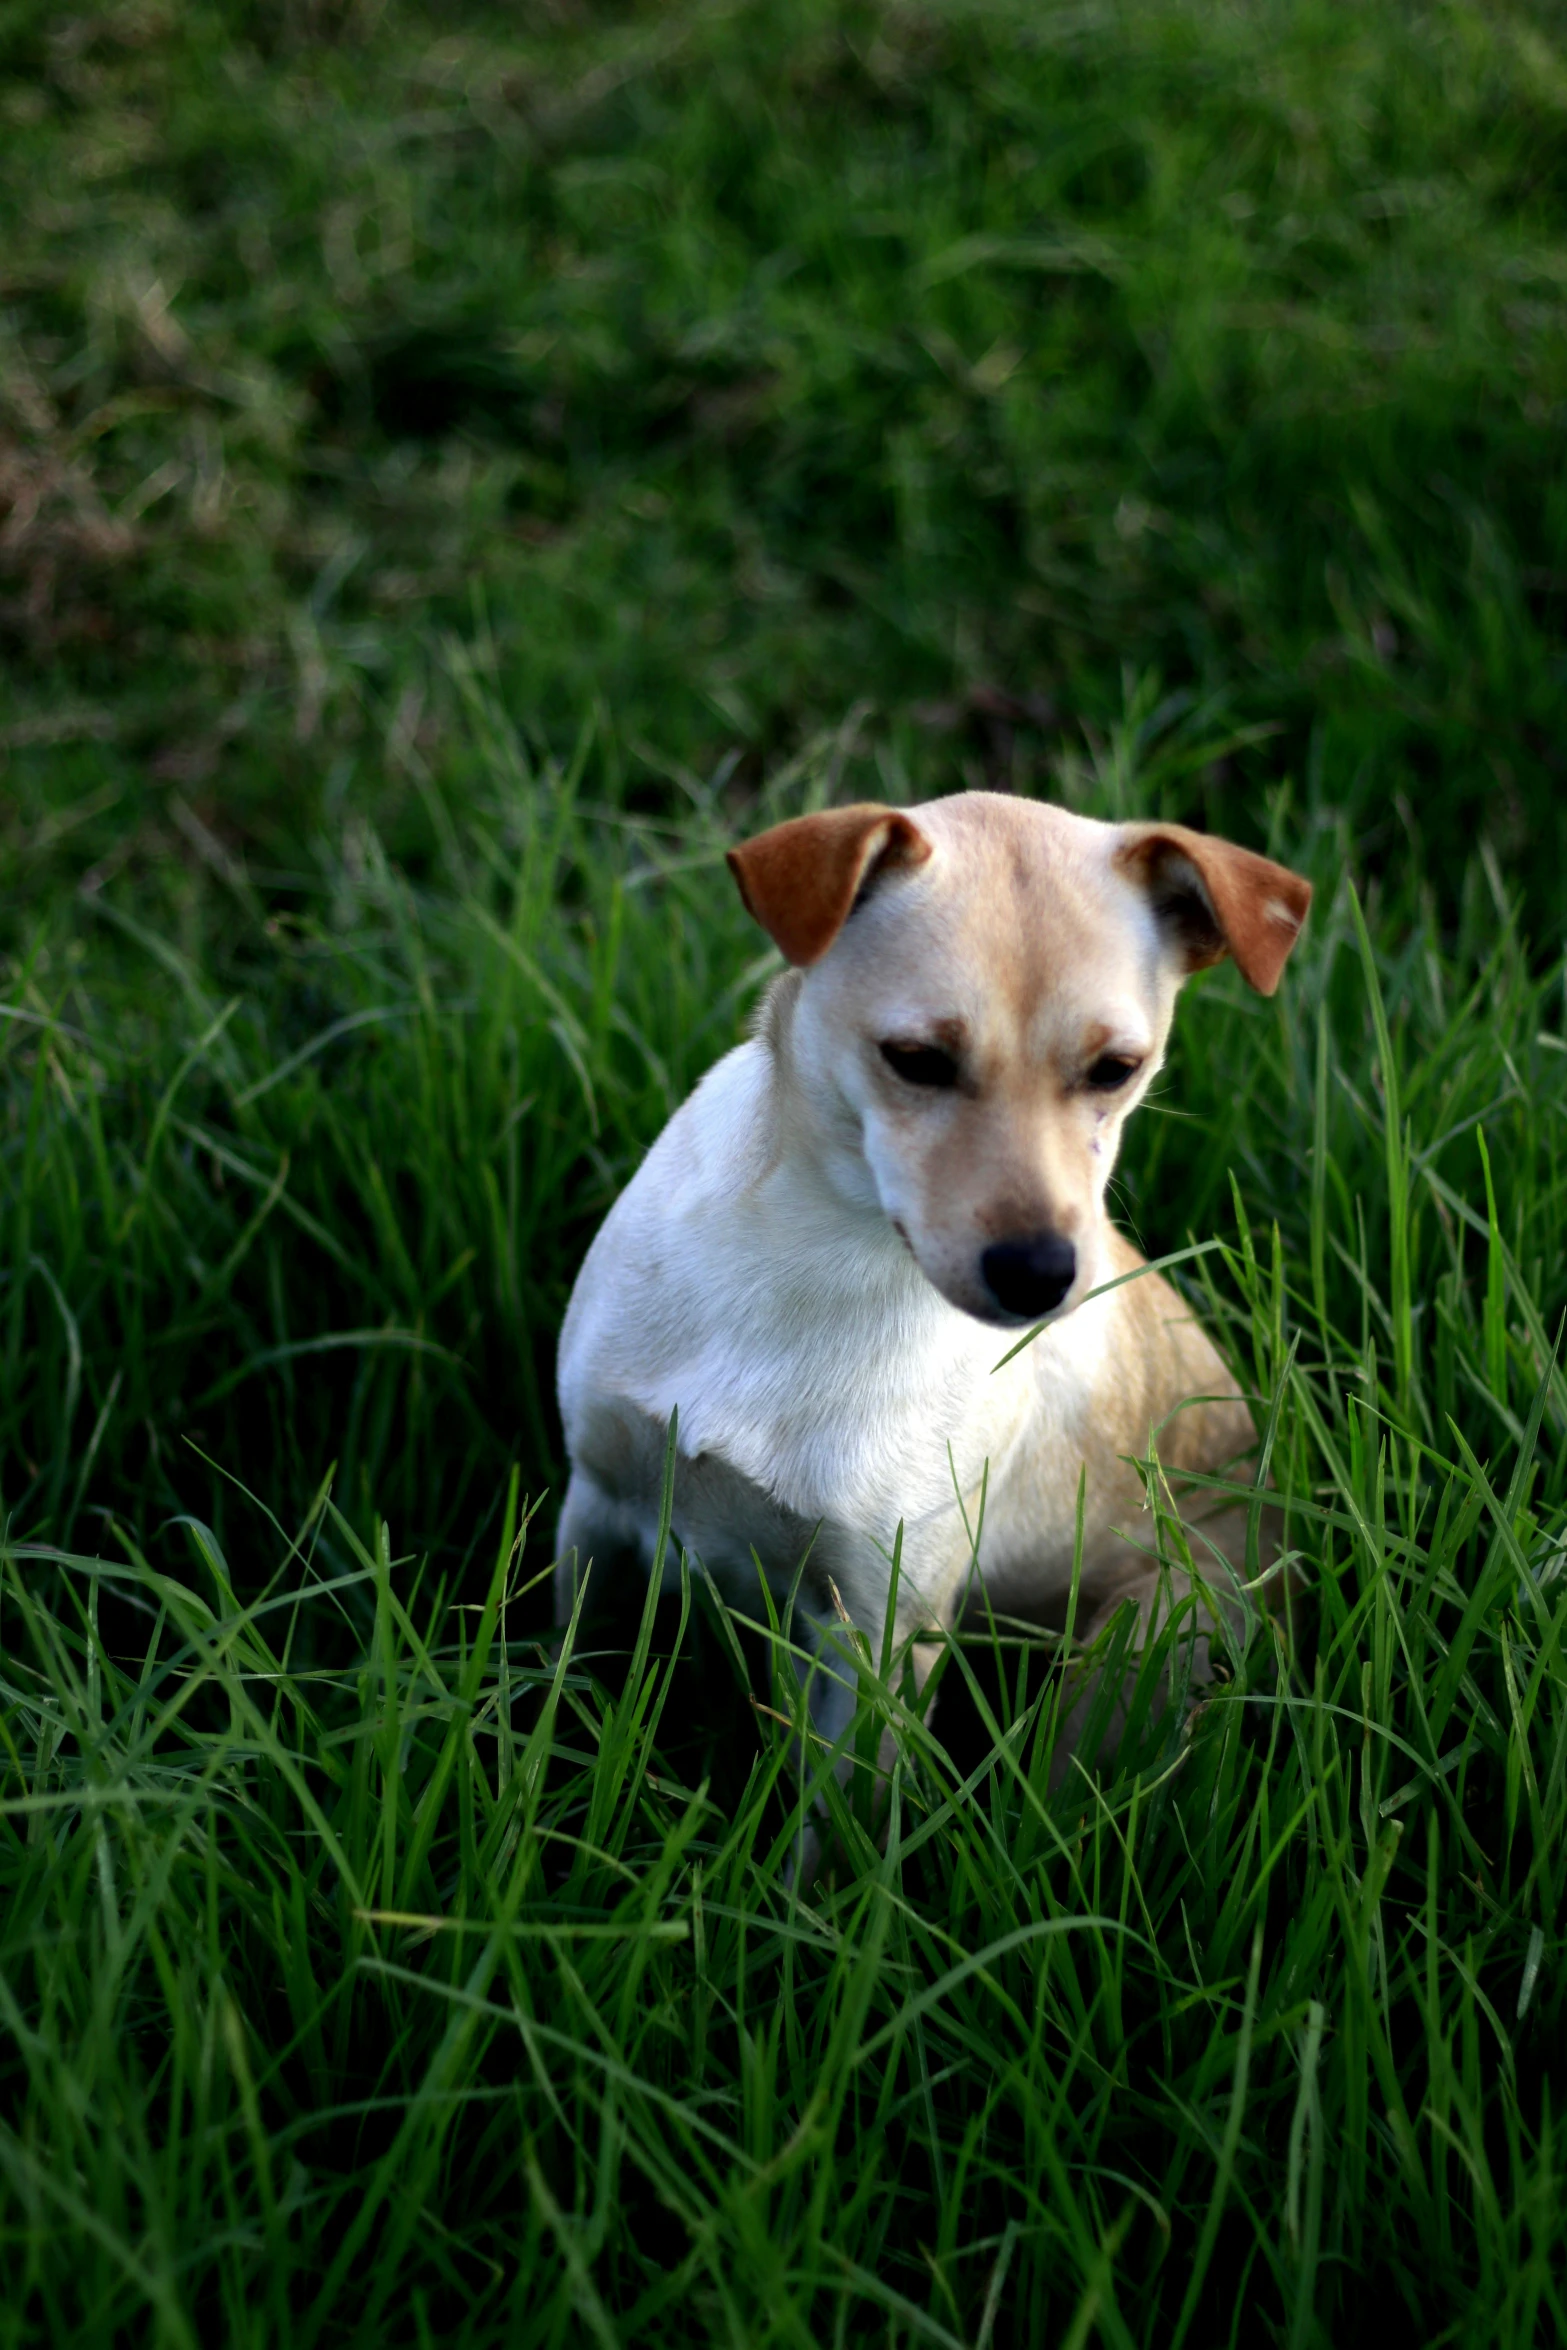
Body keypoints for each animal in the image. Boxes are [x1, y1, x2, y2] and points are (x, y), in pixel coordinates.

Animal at [554, 789, 1315, 1795]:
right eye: (915, 1058)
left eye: (1115, 1070)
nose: (1039, 1273)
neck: (817, 1257)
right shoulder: (593, 1515)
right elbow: (553, 1694)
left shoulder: (878, 1635)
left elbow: (840, 1822)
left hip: (1135, 1656)